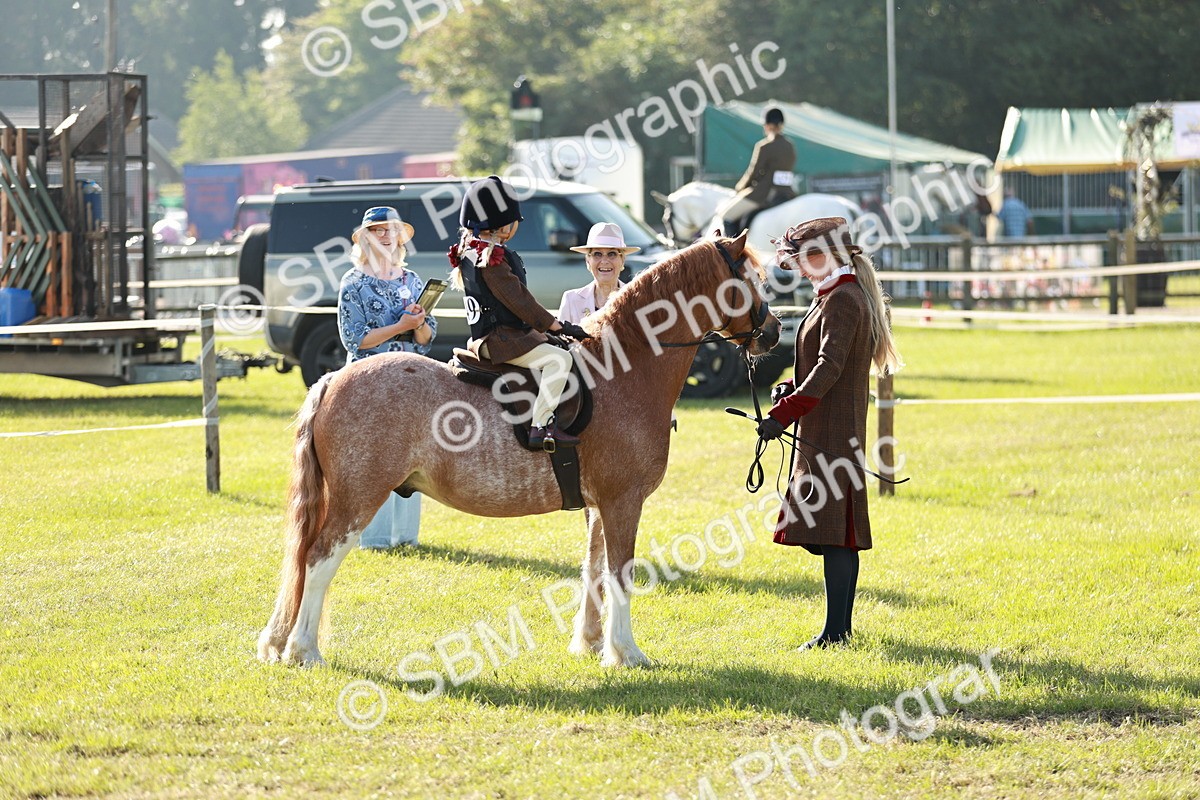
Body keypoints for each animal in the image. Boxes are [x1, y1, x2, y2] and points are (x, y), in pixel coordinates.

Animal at [258, 231, 781, 669]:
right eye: (752, 281)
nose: (774, 332)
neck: (625, 368)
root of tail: (333, 378)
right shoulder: (623, 502)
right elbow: (620, 575)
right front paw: (626, 653)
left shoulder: (599, 506)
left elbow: (593, 571)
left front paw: (590, 645)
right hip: (357, 498)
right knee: (318, 559)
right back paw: (303, 651)